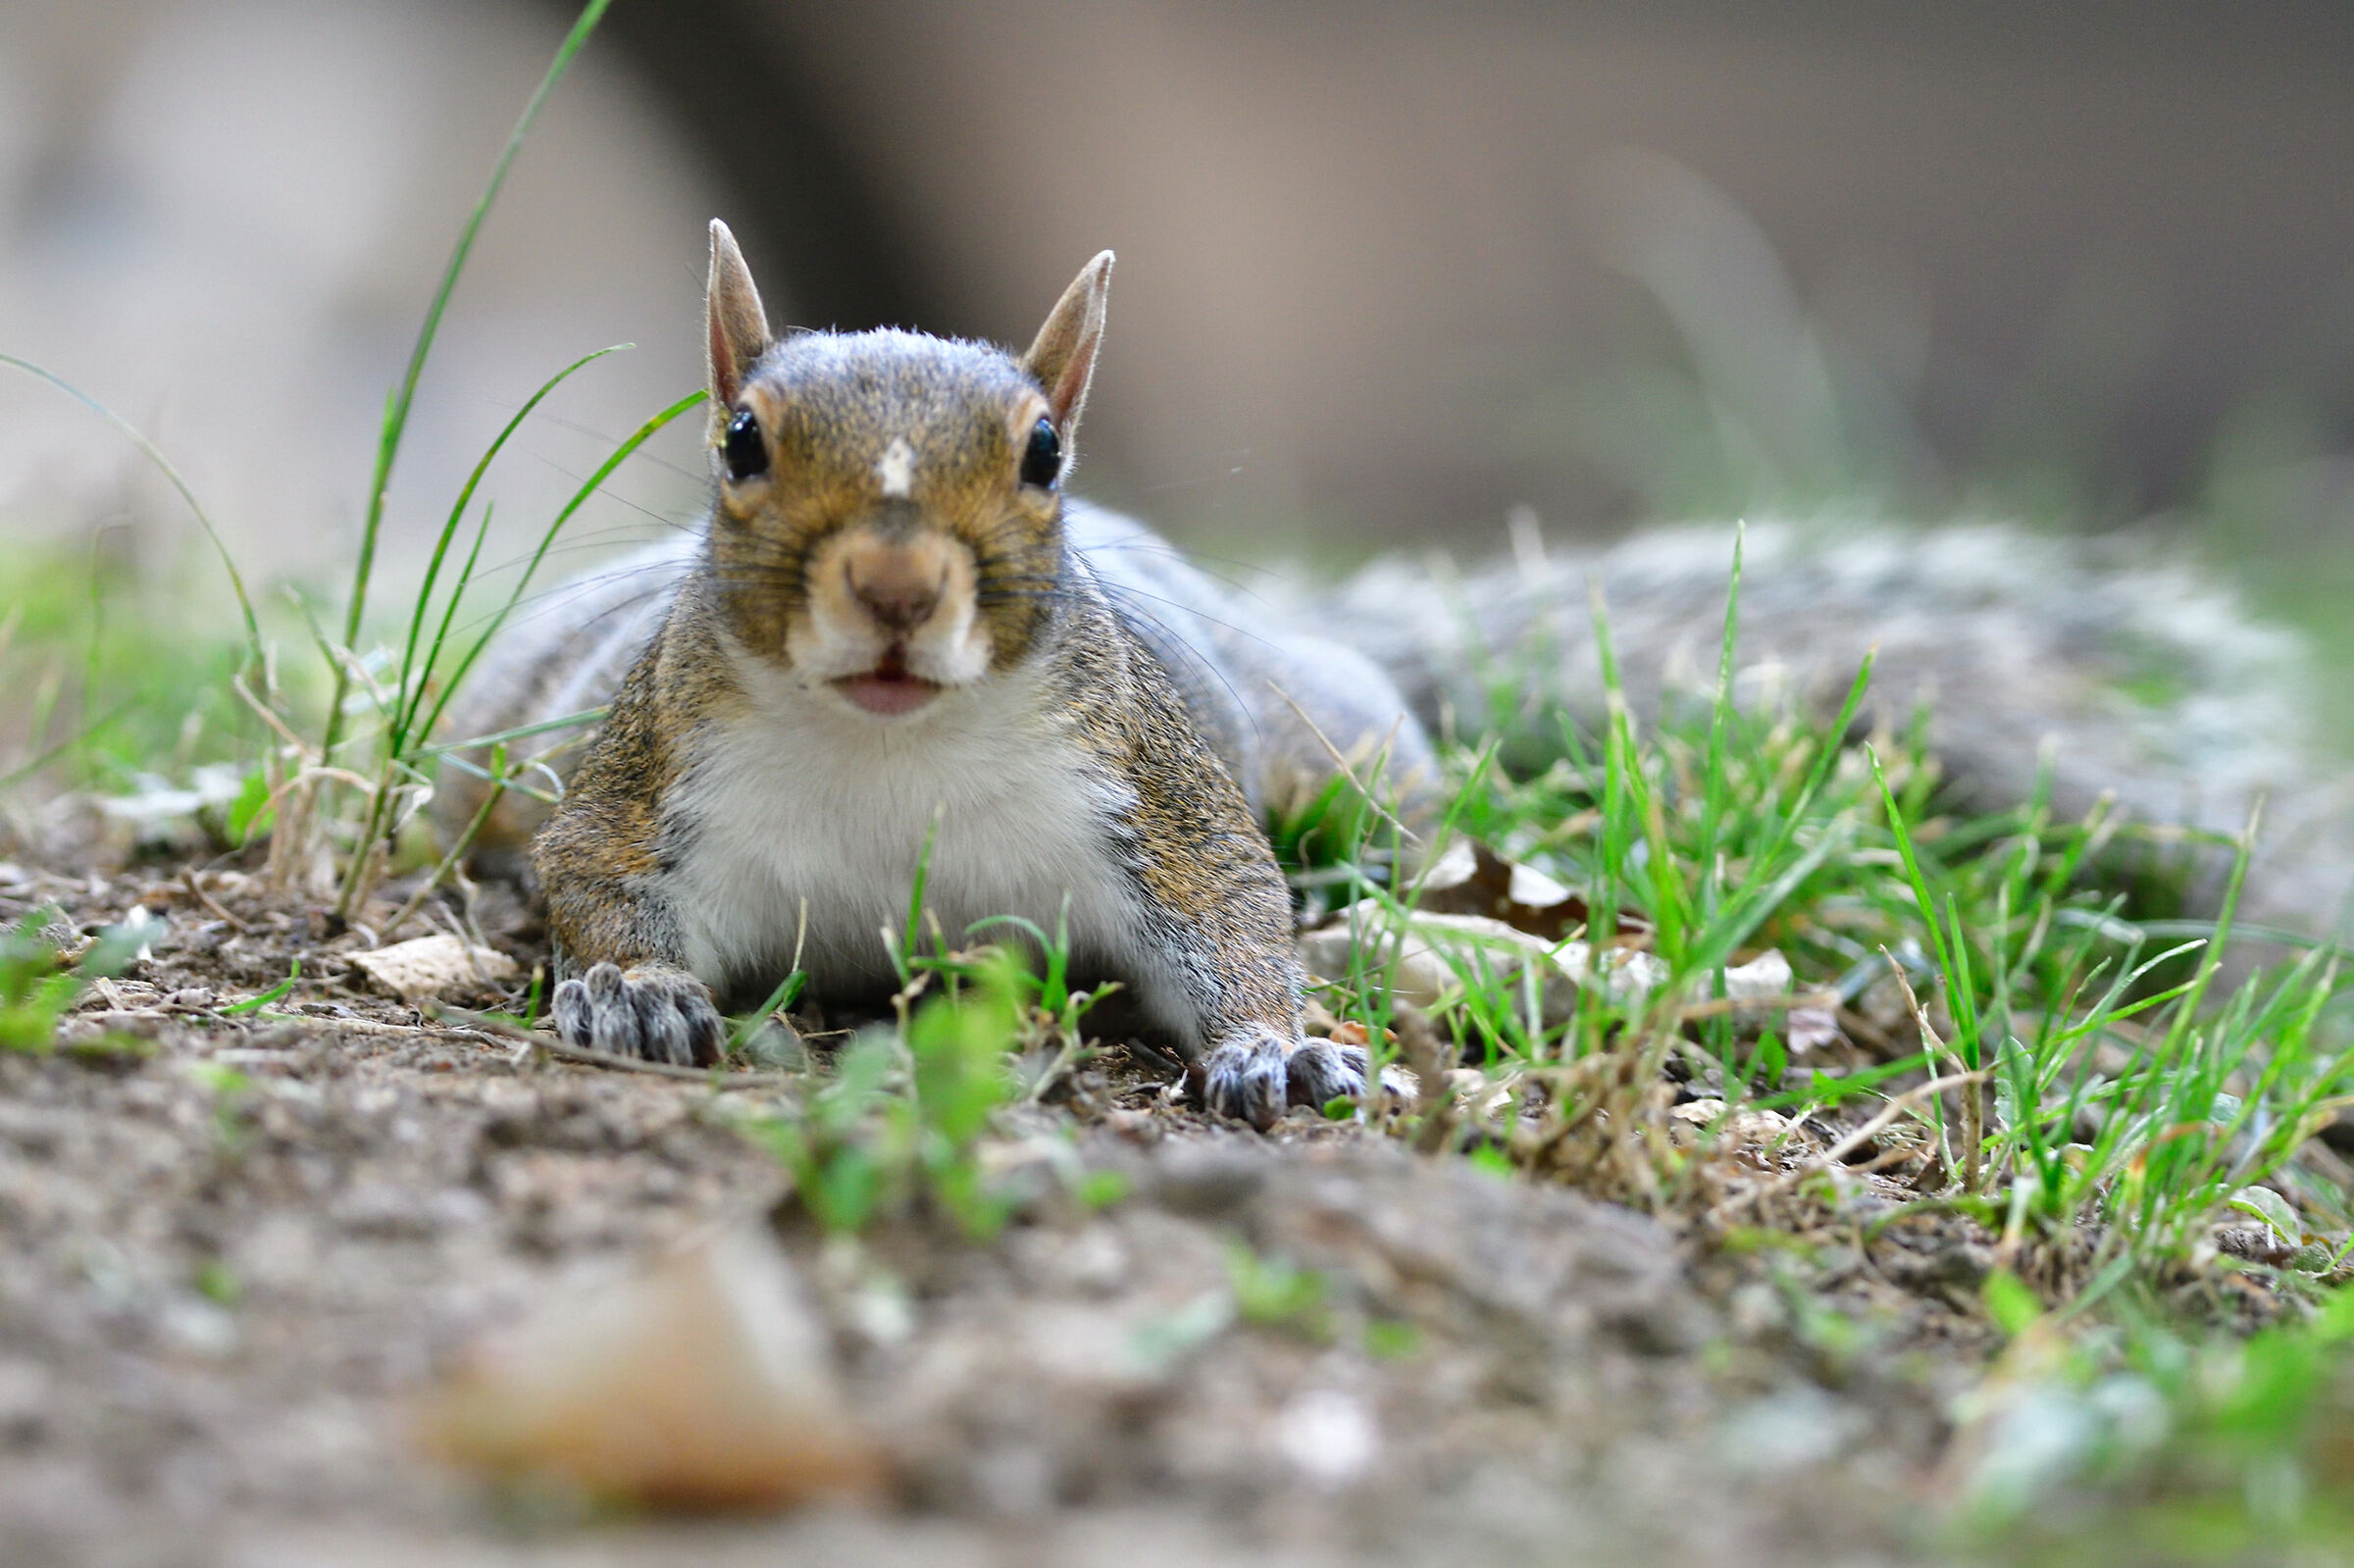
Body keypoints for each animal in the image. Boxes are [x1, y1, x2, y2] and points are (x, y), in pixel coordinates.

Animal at [446, 221, 2352, 1124]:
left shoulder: (1156, 797)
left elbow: (1231, 915)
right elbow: (589, 878)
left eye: (1045, 452)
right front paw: (630, 994)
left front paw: (1276, 1049)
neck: (887, 756)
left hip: (1325, 752)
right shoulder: (643, 780)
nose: (902, 584)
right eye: (743, 442)